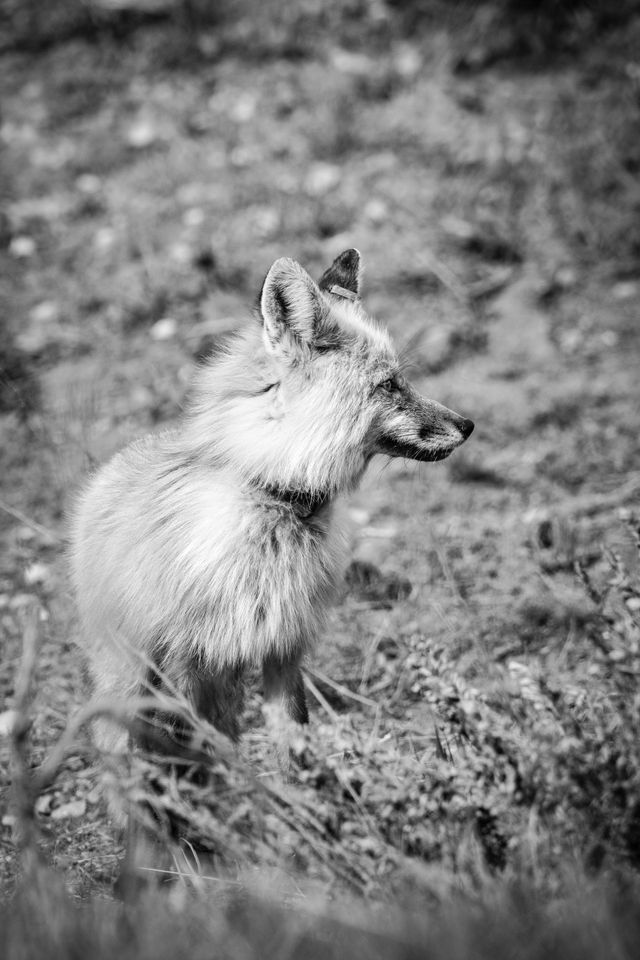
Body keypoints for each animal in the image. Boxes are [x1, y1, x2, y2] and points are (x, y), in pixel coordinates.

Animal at [70, 249, 472, 772]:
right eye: (389, 385)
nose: (468, 425)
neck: (273, 500)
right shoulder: (185, 655)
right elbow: (198, 760)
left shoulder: (283, 644)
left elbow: (293, 741)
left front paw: (303, 794)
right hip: (131, 674)